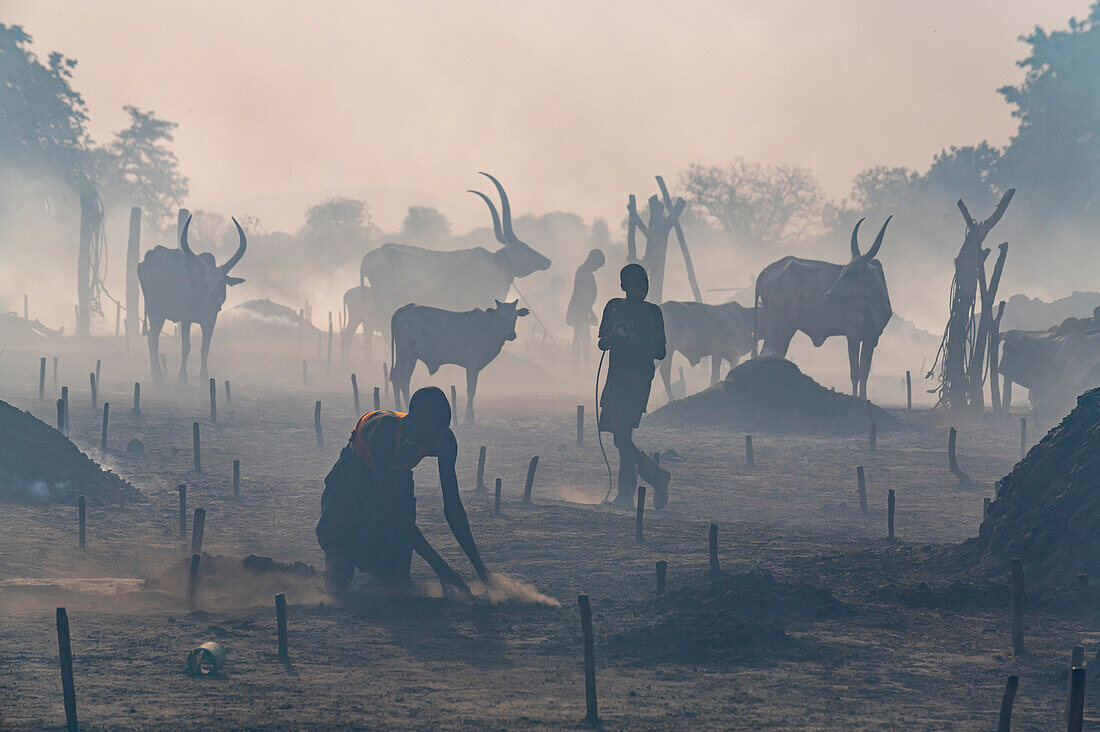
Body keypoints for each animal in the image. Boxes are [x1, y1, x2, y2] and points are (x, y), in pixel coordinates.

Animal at [137, 214, 247, 383]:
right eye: (205, 281)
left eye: (222, 282)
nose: (214, 300)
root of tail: (145, 260)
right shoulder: (186, 319)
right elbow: (186, 347)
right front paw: (182, 378)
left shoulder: (211, 319)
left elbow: (205, 347)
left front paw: (204, 378)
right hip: (155, 313)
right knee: (152, 339)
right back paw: (158, 377)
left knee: (152, 337)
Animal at [393, 299, 530, 422]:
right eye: (500, 316)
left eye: (515, 316)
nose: (511, 335)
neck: (487, 327)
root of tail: (406, 308)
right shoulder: (472, 365)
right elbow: (471, 390)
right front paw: (469, 418)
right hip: (403, 353)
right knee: (397, 377)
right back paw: (398, 407)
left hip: (412, 357)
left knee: (405, 380)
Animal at [756, 216, 893, 400]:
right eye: (843, 270)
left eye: (855, 272)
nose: (829, 294)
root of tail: (765, 271)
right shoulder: (853, 335)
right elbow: (855, 372)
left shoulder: (871, 338)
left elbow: (864, 372)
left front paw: (864, 399)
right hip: (776, 325)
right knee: (766, 353)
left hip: (786, 328)